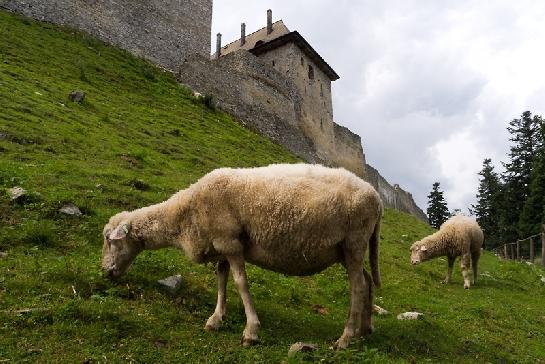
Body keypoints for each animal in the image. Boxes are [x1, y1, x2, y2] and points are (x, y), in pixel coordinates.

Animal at [102, 164, 382, 348]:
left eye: (109, 240)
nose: (105, 272)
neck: (185, 215)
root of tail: (377, 198)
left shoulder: (231, 242)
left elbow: (240, 283)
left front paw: (251, 330)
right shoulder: (222, 244)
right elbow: (221, 278)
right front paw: (216, 318)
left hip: (354, 242)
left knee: (357, 286)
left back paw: (345, 338)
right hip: (346, 249)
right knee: (367, 280)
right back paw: (365, 329)